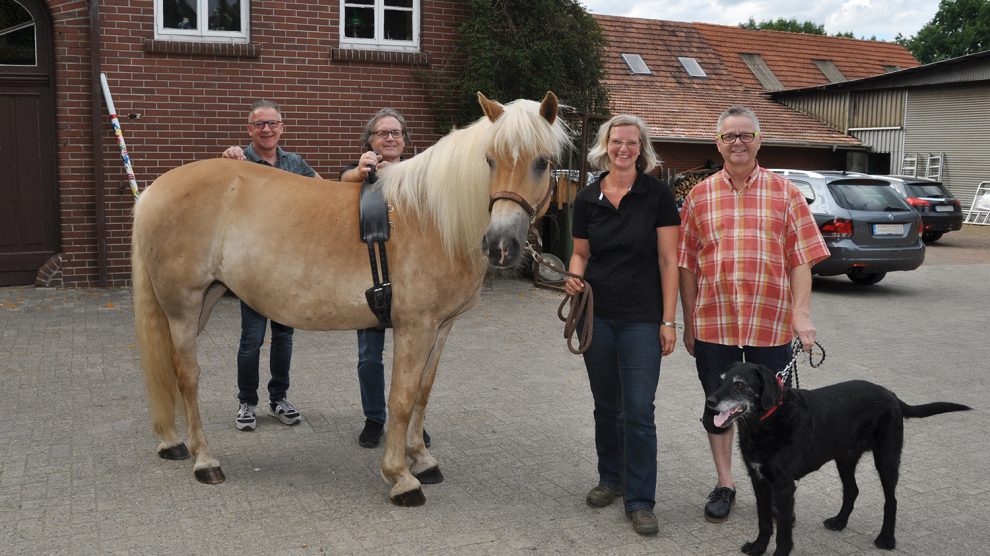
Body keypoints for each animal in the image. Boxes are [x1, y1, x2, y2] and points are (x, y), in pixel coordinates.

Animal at [130, 92, 572, 508]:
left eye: (543, 162)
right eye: (490, 160)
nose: (501, 245)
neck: (431, 216)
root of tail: (154, 190)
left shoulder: (441, 328)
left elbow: (423, 392)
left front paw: (422, 460)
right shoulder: (415, 327)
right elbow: (401, 398)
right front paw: (400, 477)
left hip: (200, 304)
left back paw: (174, 443)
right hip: (184, 307)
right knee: (187, 376)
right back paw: (205, 461)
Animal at [708, 360, 972, 556]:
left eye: (740, 385)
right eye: (721, 380)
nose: (710, 402)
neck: (766, 422)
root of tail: (891, 395)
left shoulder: (784, 487)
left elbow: (783, 530)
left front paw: (779, 553)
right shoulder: (759, 479)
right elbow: (764, 520)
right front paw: (758, 547)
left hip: (887, 459)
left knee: (892, 500)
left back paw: (886, 538)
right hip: (845, 459)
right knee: (852, 490)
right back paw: (839, 521)